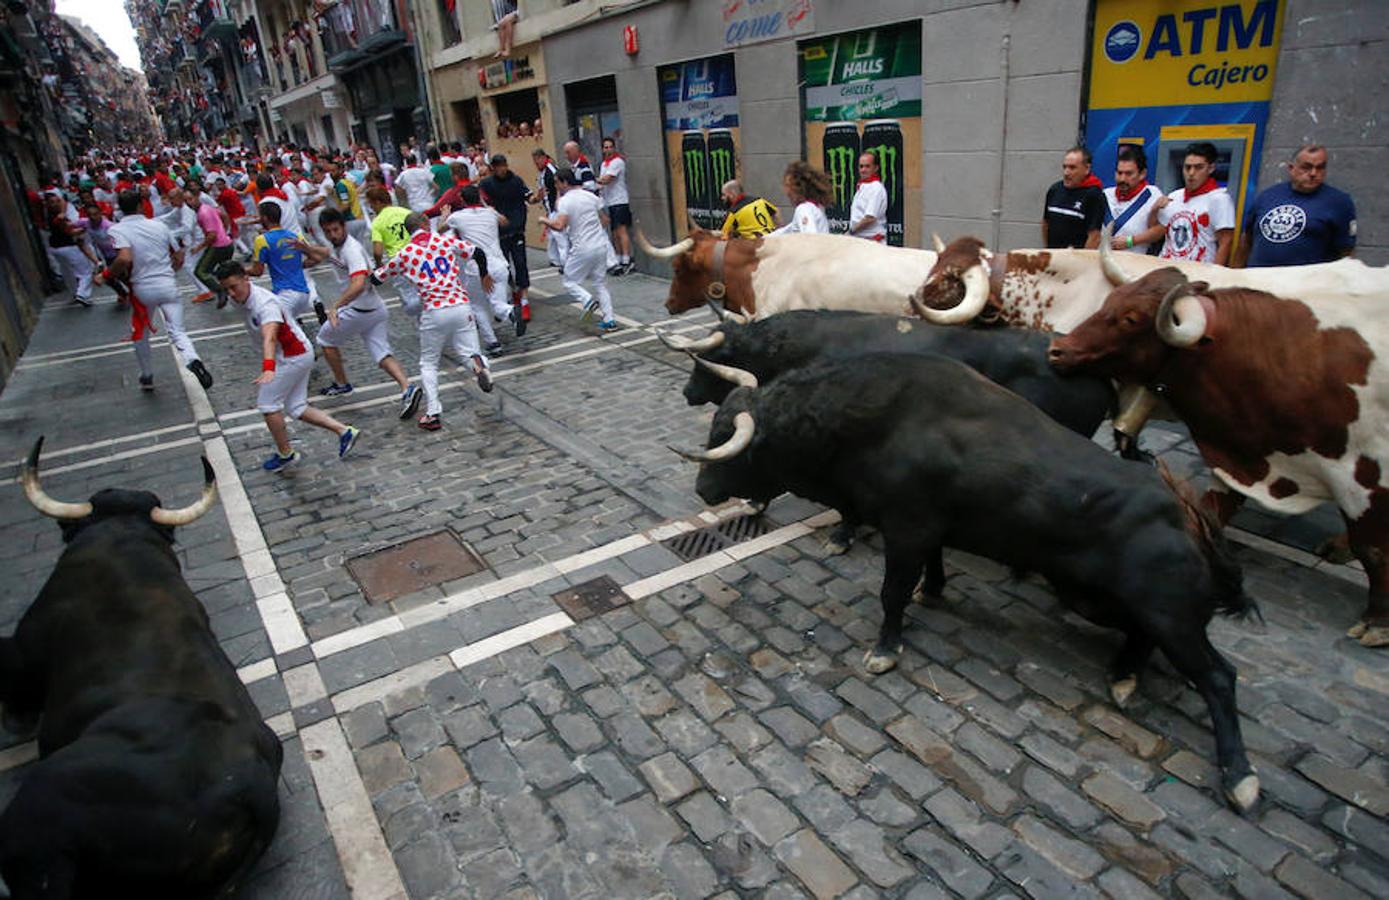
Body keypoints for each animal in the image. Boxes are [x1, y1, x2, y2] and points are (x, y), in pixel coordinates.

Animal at [677, 352, 1266, 816]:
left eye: (727, 440)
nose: (704, 489)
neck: (872, 421)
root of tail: (1185, 514)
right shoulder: (929, 531)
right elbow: (933, 568)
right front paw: (932, 592)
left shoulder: (906, 530)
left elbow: (892, 593)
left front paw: (886, 648)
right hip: (1101, 599)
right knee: (1141, 638)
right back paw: (1122, 677)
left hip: (1168, 617)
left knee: (1219, 676)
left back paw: (1240, 776)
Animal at [1044, 266, 1389, 647]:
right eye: (1108, 301)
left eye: (1130, 319)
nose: (1057, 350)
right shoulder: (1240, 458)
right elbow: (1211, 509)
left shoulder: (1364, 475)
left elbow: (1372, 547)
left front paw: (1377, 623)